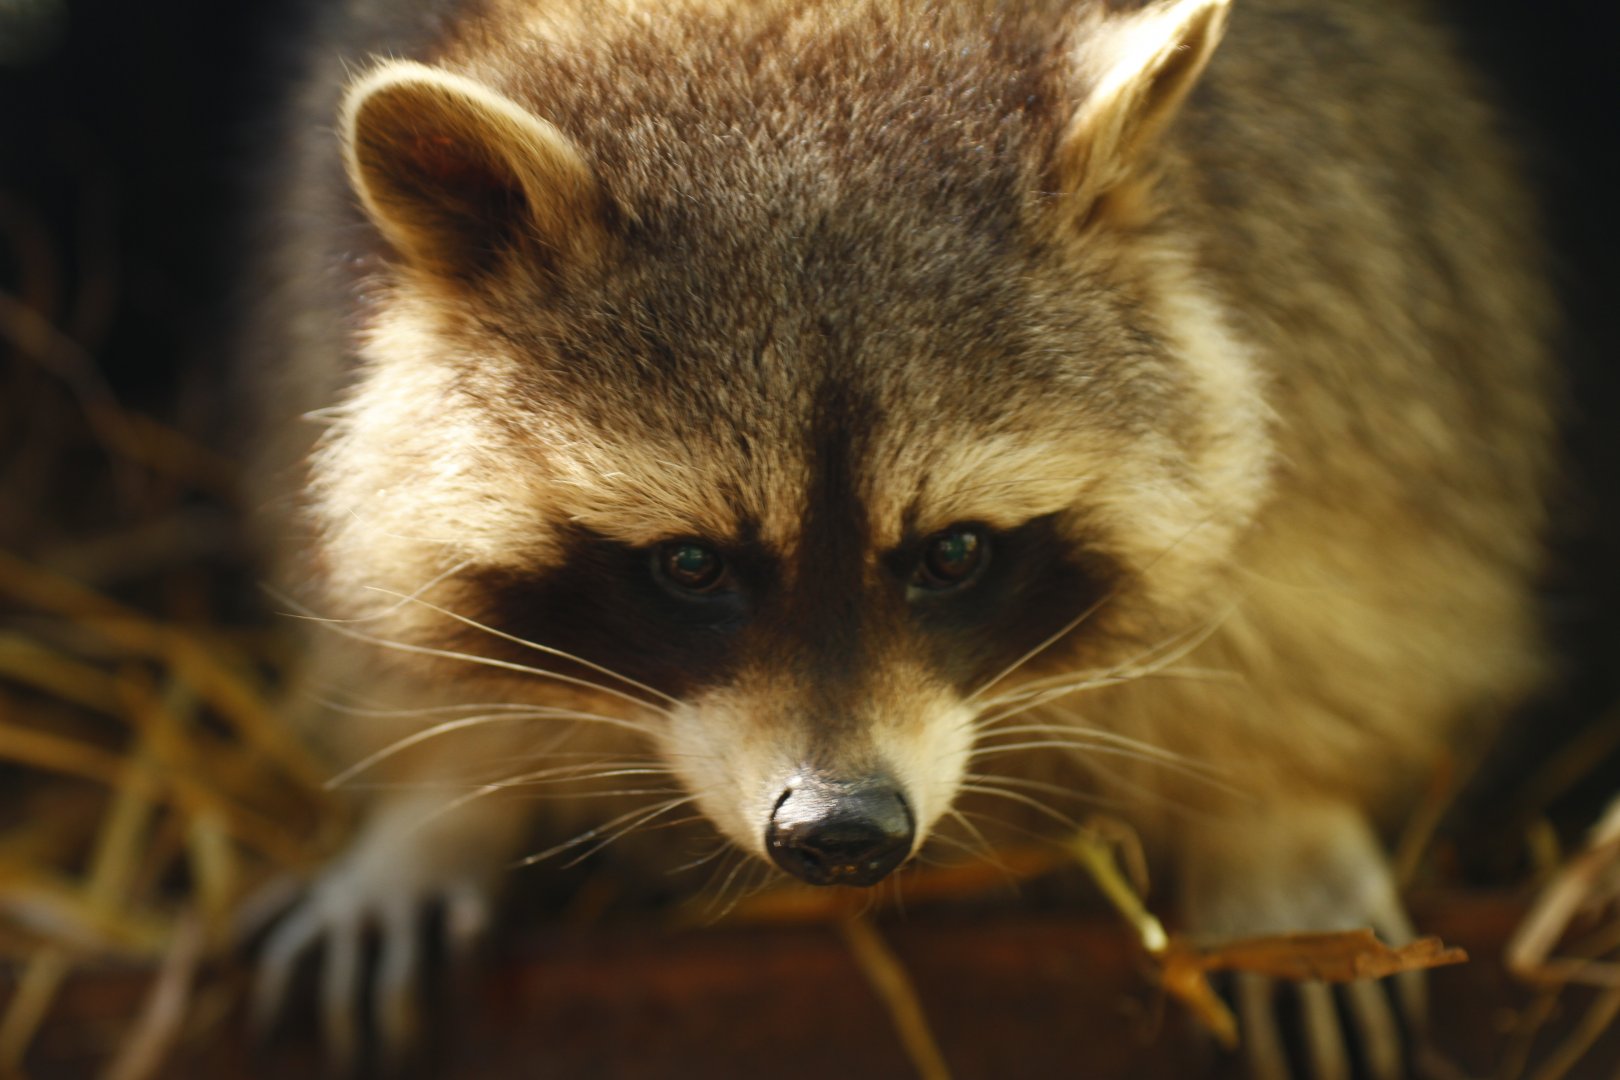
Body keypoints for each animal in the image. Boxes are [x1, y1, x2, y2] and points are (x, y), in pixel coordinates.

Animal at [243, 0, 1558, 1072]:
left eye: (955, 554)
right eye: (690, 565)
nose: (842, 836)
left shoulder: (1352, 292)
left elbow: (1347, 563)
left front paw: (1274, 799)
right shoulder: (318, 297)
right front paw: (433, 806)